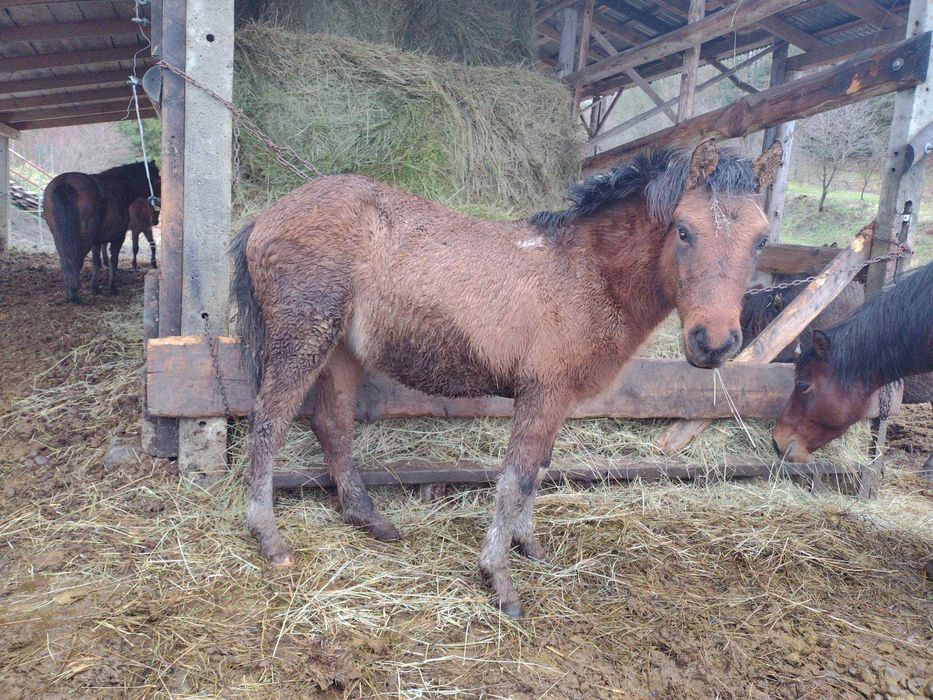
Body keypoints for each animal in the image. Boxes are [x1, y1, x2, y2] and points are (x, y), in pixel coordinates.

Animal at [42, 161, 159, 304]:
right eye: (158, 178)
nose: (158, 200)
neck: (120, 187)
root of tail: (65, 183)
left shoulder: (97, 241)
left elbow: (96, 262)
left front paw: (95, 287)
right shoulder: (118, 237)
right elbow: (114, 260)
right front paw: (112, 287)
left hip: (60, 237)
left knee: (66, 260)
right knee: (75, 260)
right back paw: (74, 295)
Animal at [231, 138, 780, 616]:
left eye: (762, 240)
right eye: (684, 230)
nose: (713, 343)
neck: (584, 272)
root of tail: (265, 217)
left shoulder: (557, 400)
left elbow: (537, 471)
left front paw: (527, 544)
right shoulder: (543, 393)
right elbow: (515, 479)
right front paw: (498, 578)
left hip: (341, 350)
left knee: (332, 425)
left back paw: (368, 518)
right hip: (304, 338)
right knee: (269, 424)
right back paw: (270, 539)